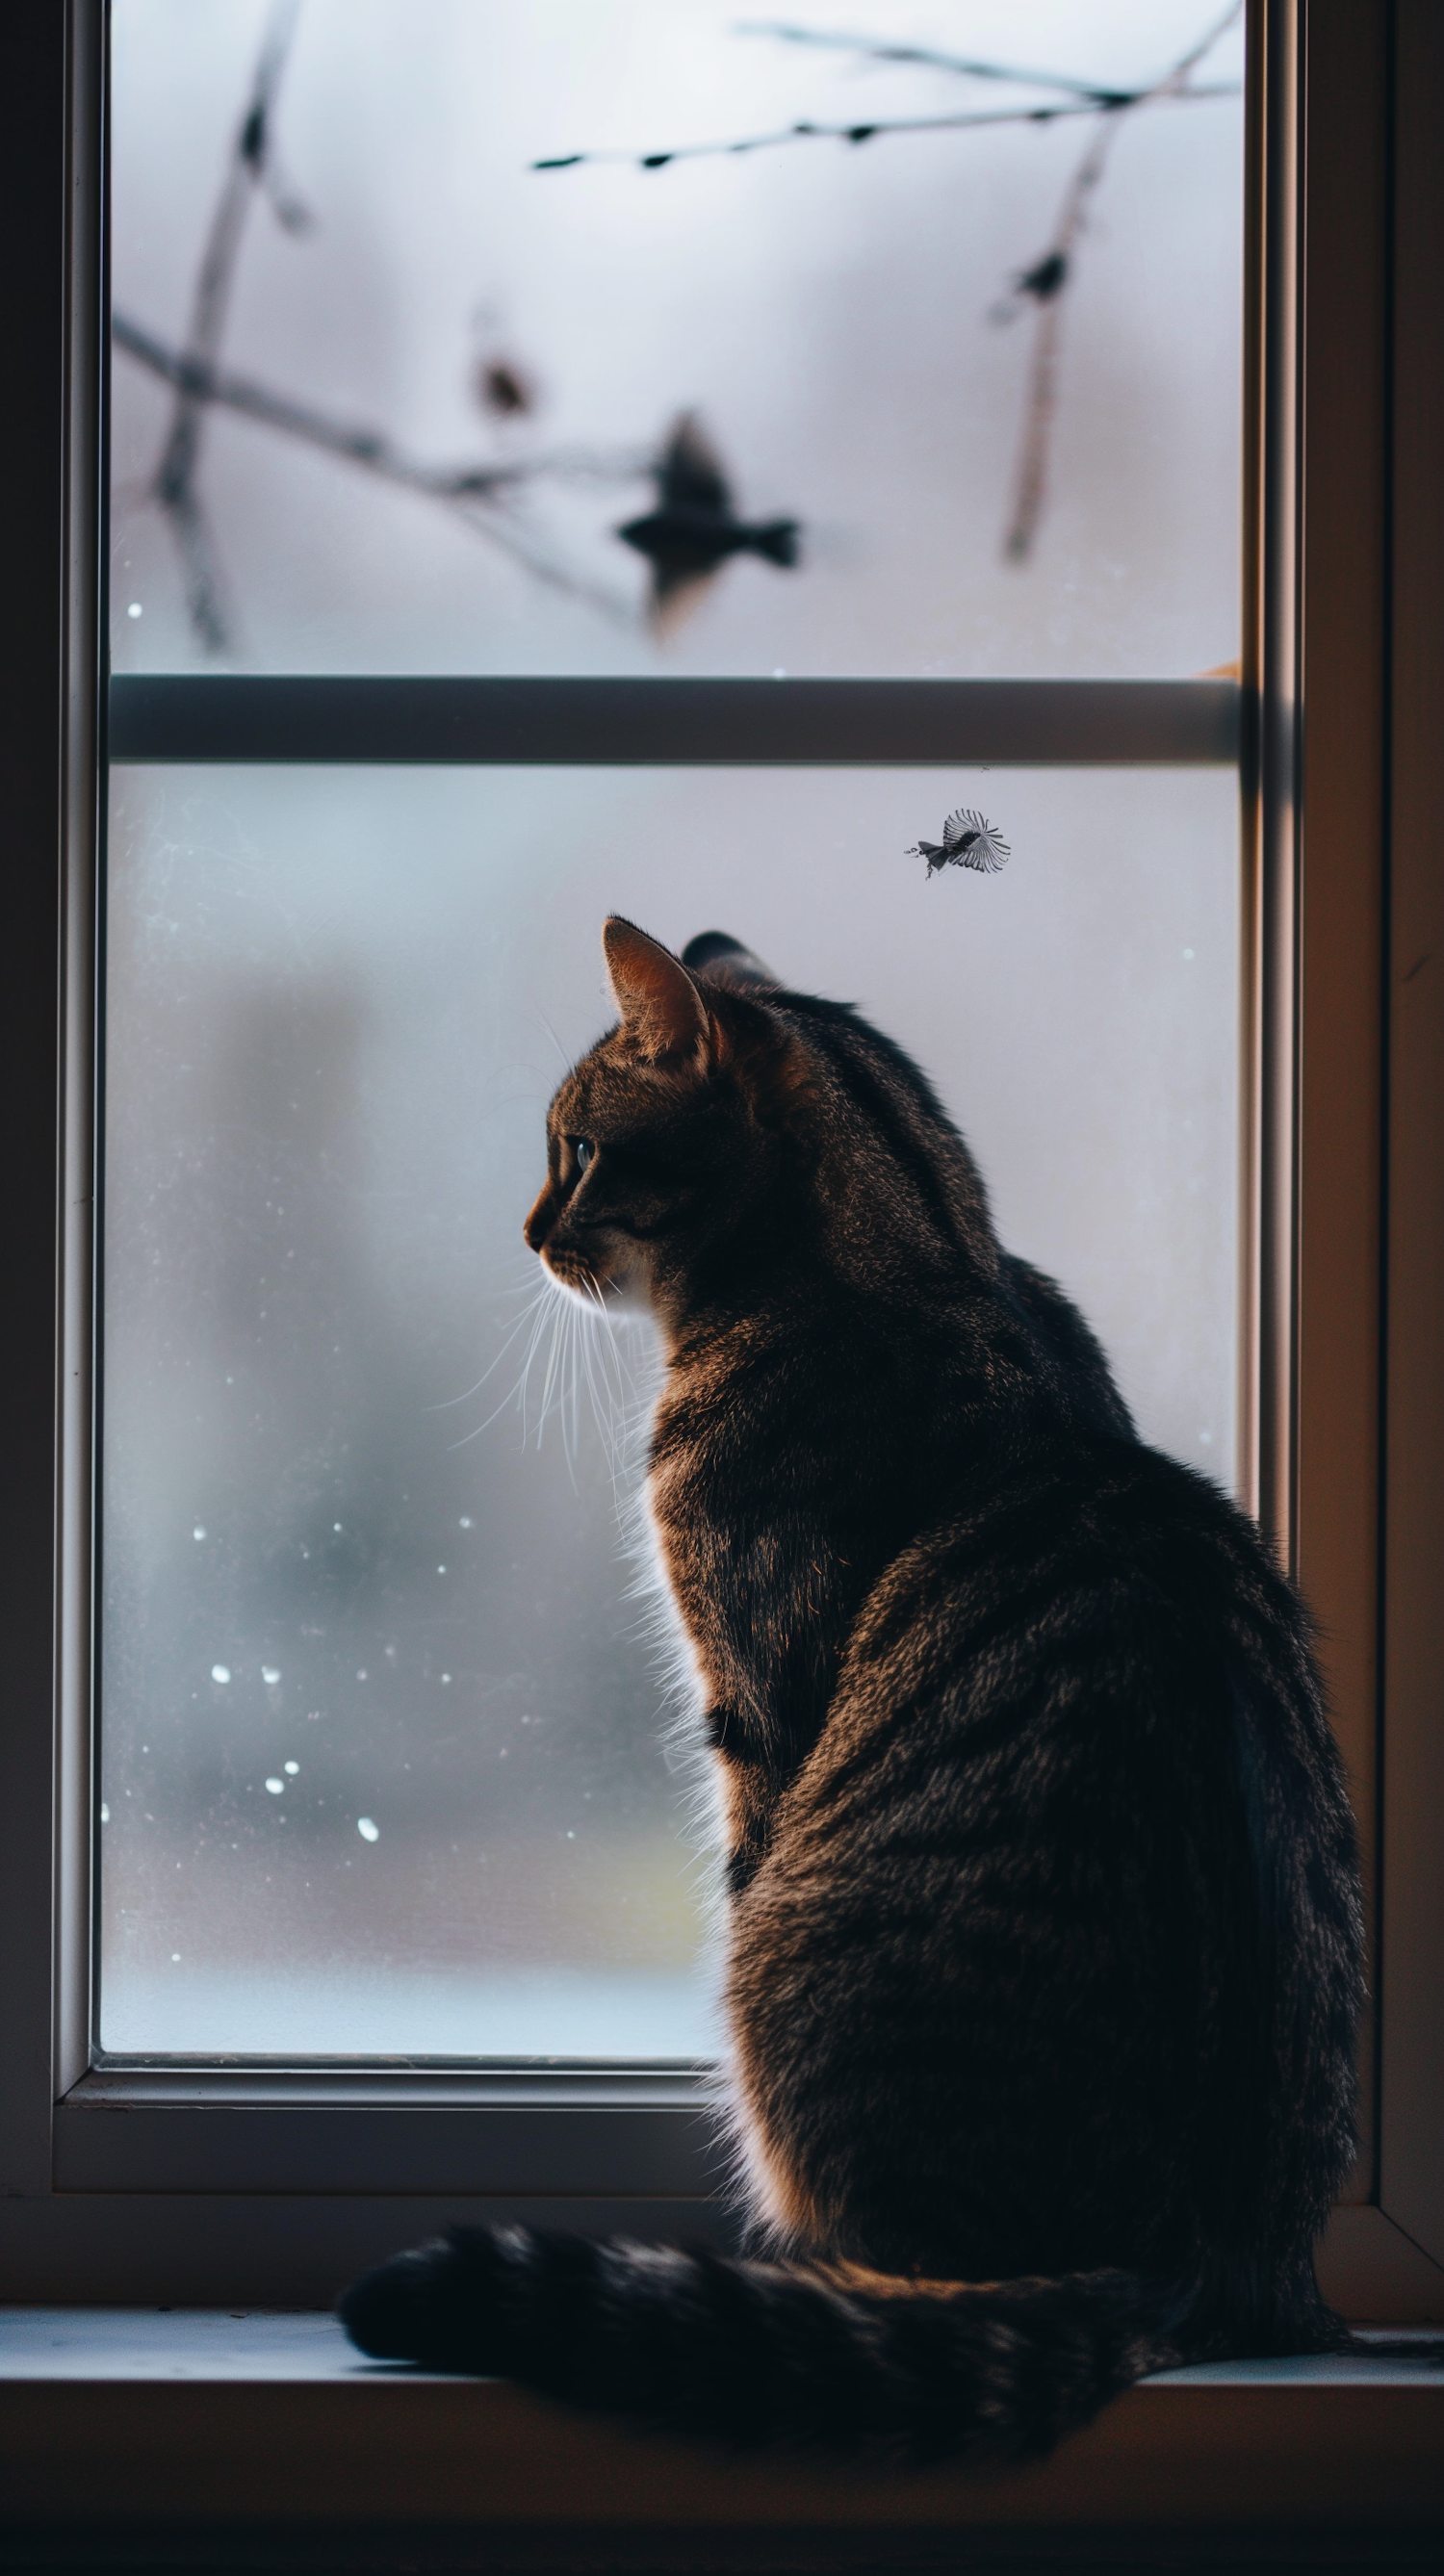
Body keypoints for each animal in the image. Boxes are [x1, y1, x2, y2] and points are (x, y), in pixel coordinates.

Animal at [337, 916, 1358, 2462]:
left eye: (576, 1149)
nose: (524, 1229)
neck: (940, 1260)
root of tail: (1195, 2266)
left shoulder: (752, 1700)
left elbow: (741, 1846)